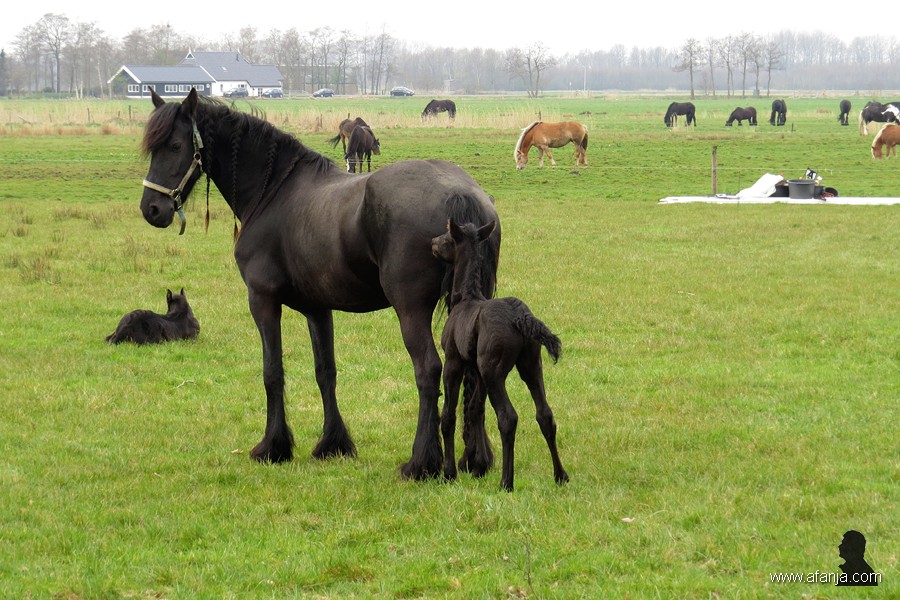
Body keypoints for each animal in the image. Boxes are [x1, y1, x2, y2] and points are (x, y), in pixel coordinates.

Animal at [140, 88, 501, 480]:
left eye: (175, 145)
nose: (152, 209)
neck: (273, 191)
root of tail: (458, 193)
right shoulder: (317, 308)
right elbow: (325, 372)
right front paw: (333, 444)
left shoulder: (263, 301)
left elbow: (272, 372)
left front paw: (274, 447)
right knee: (471, 371)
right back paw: (475, 459)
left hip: (410, 311)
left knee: (428, 370)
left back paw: (421, 462)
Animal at [432, 219, 568, 492]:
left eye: (448, 238)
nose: (432, 243)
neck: (466, 298)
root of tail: (521, 317)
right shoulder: (478, 370)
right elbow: (475, 409)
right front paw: (477, 467)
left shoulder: (454, 362)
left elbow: (449, 415)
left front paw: (450, 473)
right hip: (530, 366)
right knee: (545, 414)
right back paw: (560, 475)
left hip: (495, 372)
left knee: (508, 417)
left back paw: (507, 481)